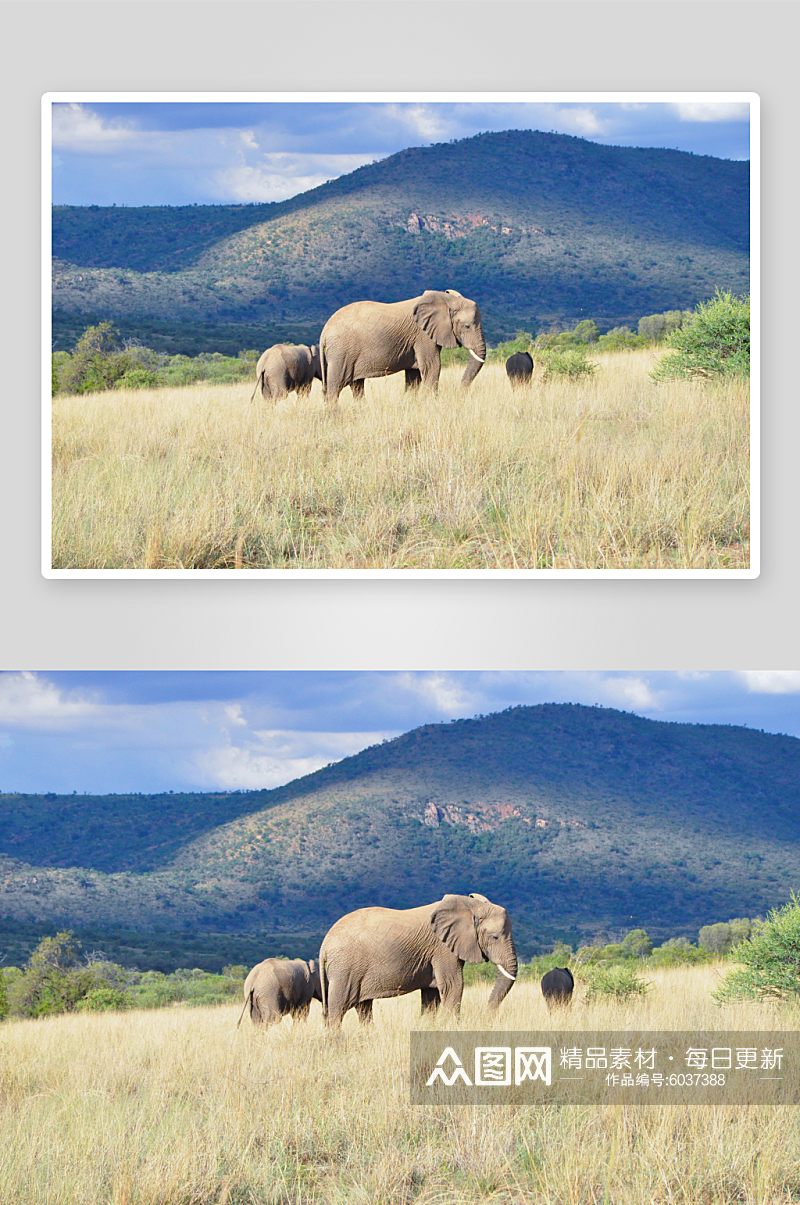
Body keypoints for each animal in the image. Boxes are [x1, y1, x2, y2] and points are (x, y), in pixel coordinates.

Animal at [318, 289, 481, 407]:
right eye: (467, 326)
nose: (460, 393)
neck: (447, 299)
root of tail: (324, 332)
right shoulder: (422, 336)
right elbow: (432, 367)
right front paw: (431, 405)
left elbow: (414, 375)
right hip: (341, 352)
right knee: (335, 386)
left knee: (357, 385)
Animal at [318, 891, 518, 1031]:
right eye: (494, 937)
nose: (487, 1017)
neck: (471, 905)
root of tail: (324, 944)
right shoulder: (442, 948)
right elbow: (454, 985)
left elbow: (431, 995)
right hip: (345, 968)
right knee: (338, 1009)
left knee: (363, 1008)